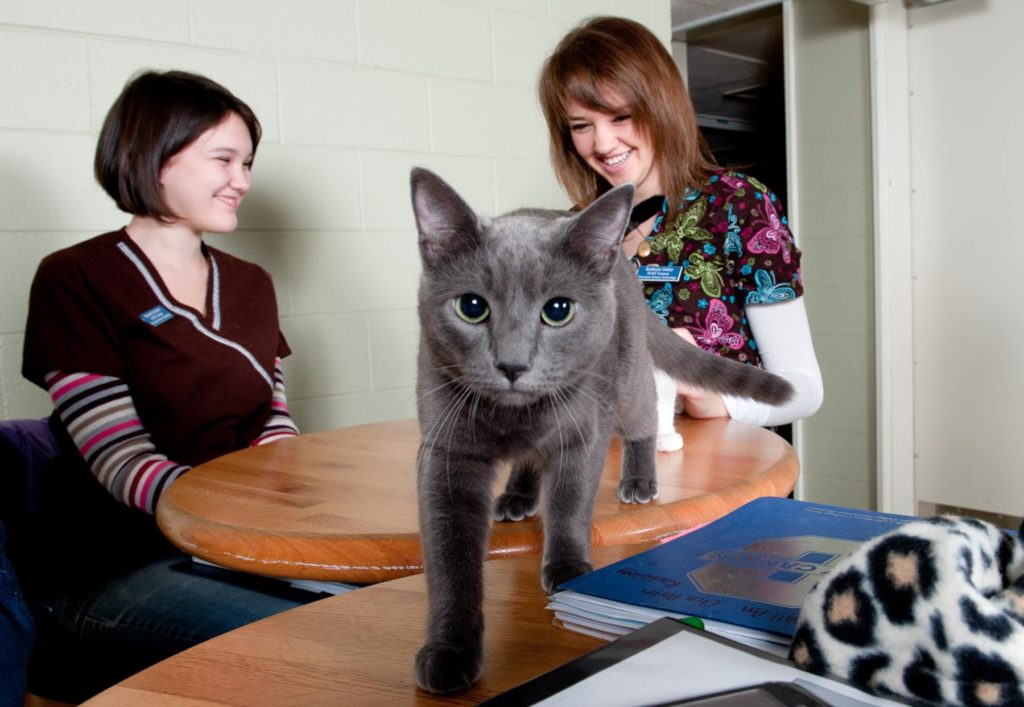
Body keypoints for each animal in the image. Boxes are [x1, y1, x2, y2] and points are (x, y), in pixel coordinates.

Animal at [407, 168, 790, 692]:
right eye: (471, 307)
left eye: (558, 310)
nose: (512, 363)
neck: (517, 415)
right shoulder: (447, 449)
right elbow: (450, 557)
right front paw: (450, 652)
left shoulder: (582, 429)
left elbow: (570, 503)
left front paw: (568, 569)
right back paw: (517, 496)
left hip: (626, 378)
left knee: (643, 421)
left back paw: (639, 480)